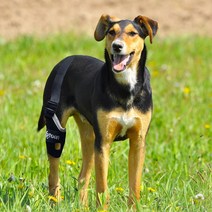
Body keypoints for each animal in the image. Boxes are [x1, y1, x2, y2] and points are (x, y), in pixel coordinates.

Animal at [37, 14, 157, 208]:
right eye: (111, 32)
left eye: (132, 33)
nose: (117, 46)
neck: (125, 87)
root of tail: (64, 61)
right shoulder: (104, 142)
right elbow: (102, 187)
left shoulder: (138, 142)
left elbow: (135, 186)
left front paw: (134, 208)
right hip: (57, 131)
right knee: (53, 174)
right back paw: (56, 203)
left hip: (89, 137)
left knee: (82, 177)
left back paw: (82, 207)